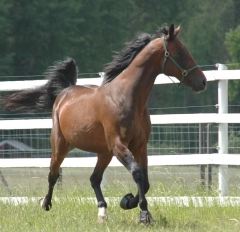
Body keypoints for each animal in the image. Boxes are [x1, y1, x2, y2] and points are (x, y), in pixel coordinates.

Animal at [5, 24, 206, 225]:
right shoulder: (118, 145)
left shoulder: (140, 146)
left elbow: (145, 181)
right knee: (53, 175)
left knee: (94, 178)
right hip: (61, 146)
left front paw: (127, 201)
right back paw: (45, 203)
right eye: (180, 52)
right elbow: (137, 173)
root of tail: (64, 92)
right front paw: (143, 213)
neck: (125, 98)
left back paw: (102, 212)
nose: (202, 82)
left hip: (104, 152)